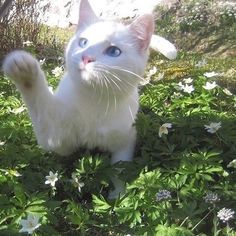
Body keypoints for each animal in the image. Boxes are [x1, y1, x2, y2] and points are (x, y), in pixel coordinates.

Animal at [1, 0, 175, 198]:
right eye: (83, 42)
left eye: (114, 51)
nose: (86, 57)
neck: (94, 100)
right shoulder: (58, 141)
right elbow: (42, 108)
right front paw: (24, 70)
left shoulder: (125, 138)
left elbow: (120, 169)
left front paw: (117, 197)